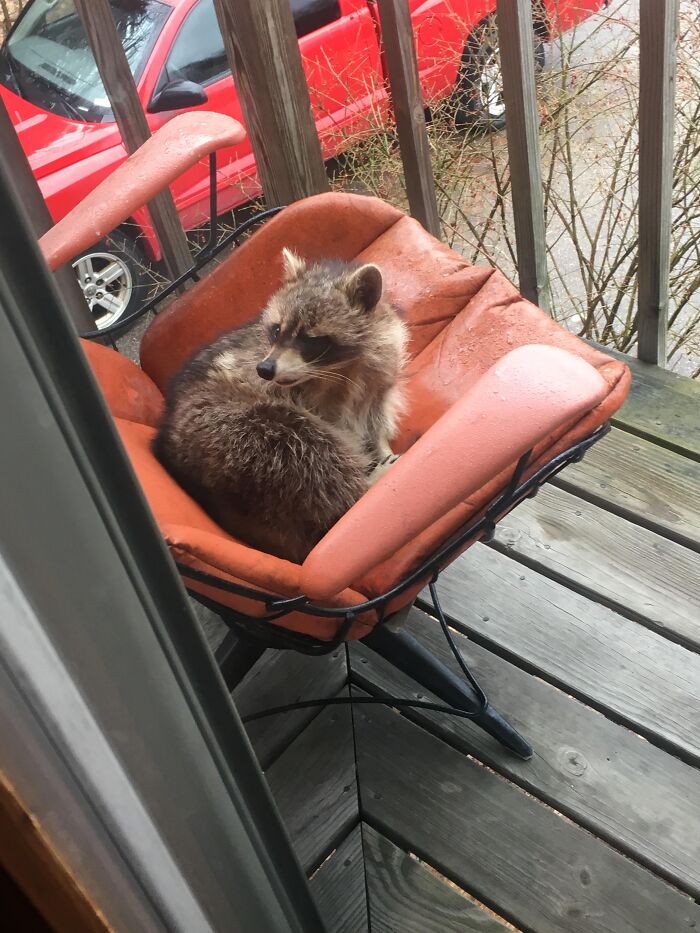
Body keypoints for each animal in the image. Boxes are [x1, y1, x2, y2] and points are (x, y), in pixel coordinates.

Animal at [153, 249, 408, 564]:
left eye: (310, 339)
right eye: (276, 331)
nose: (264, 369)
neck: (341, 367)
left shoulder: (381, 370)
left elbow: (376, 414)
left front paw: (381, 445)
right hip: (231, 431)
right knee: (306, 443)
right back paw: (361, 488)